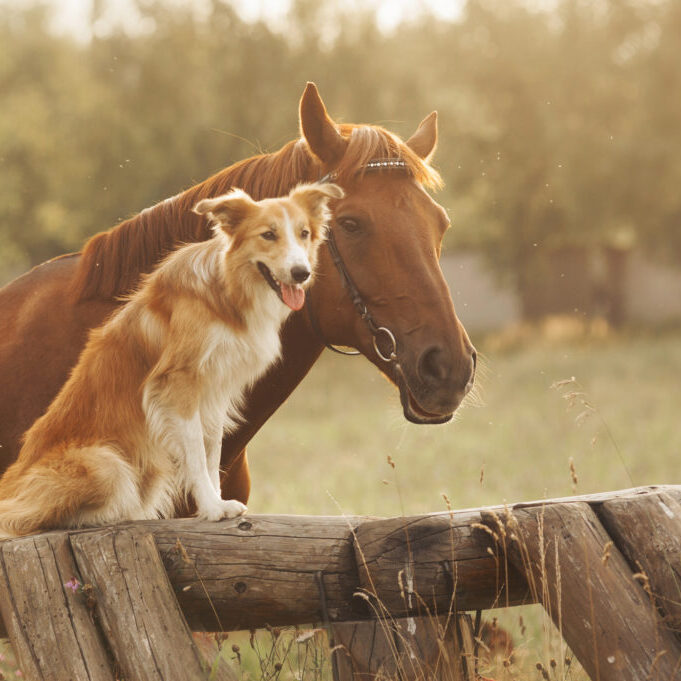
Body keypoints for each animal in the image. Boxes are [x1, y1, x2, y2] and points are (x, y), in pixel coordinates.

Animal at [0, 182, 342, 536]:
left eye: (304, 233)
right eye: (268, 235)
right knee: (19, 517)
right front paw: (211, 508)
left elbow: (212, 451)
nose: (301, 273)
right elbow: (195, 453)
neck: (227, 291)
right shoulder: (178, 384)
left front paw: (218, 502)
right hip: (108, 464)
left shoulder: (215, 390)